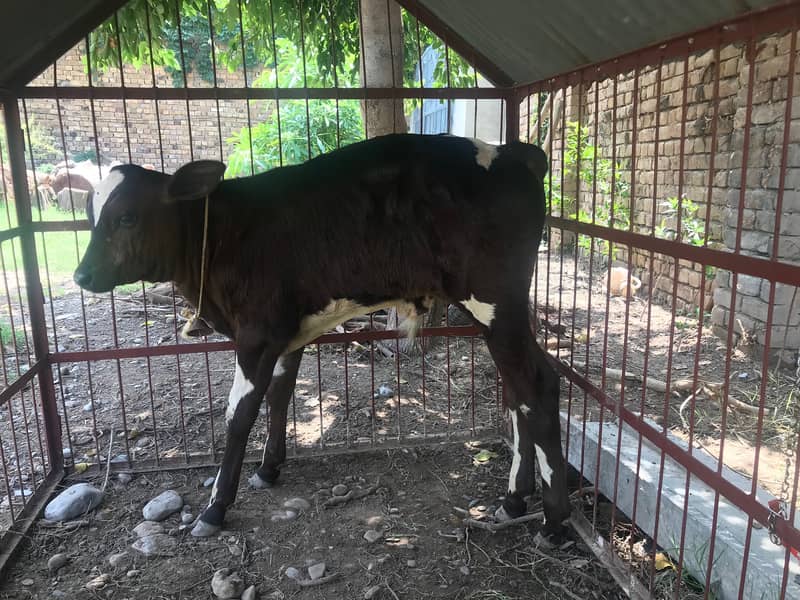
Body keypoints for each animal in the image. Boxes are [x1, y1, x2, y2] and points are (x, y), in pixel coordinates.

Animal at [70, 135, 568, 540]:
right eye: (90, 214)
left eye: (127, 217)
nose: (81, 274)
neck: (226, 234)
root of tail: (512, 152)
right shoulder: (286, 334)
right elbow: (280, 395)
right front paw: (268, 468)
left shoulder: (255, 335)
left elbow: (238, 415)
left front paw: (215, 508)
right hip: (496, 313)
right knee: (516, 392)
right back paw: (513, 501)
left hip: (494, 301)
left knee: (537, 384)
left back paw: (554, 522)